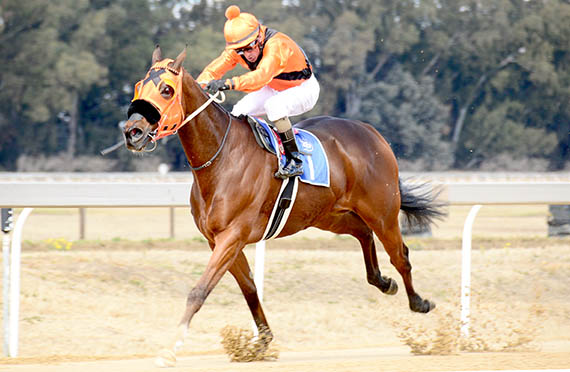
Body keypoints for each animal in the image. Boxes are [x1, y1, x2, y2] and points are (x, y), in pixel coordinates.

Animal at [122, 45, 444, 366]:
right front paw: (261, 342)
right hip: (327, 214)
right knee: (363, 233)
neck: (221, 158)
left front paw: (170, 349)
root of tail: (372, 133)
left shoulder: (232, 236)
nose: (132, 131)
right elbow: (249, 288)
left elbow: (199, 291)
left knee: (400, 255)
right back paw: (383, 281)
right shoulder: (219, 240)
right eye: (137, 87)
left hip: (382, 211)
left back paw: (419, 302)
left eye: (166, 90)